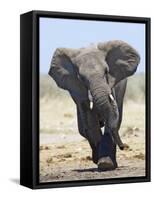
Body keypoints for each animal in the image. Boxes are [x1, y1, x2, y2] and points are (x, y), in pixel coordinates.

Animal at [48, 40, 140, 170]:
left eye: (106, 72)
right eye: (81, 78)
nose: (124, 147)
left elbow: (111, 119)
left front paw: (106, 164)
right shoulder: (78, 90)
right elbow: (90, 120)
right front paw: (102, 163)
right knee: (83, 128)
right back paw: (96, 157)